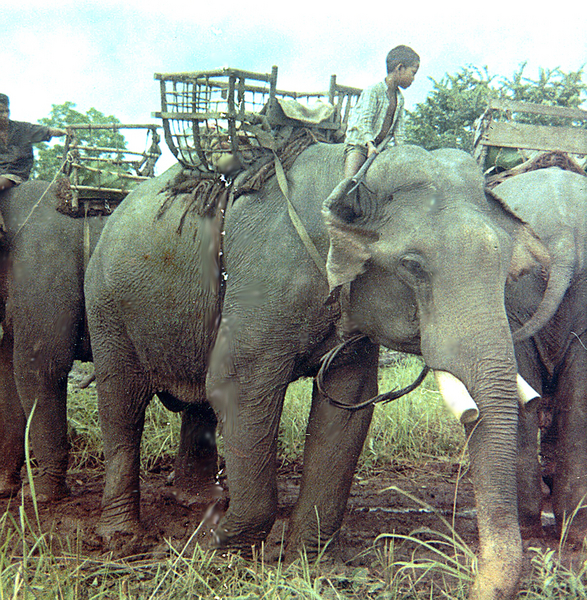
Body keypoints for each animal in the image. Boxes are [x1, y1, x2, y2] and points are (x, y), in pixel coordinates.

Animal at [87, 145, 552, 600]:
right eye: (412, 265)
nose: (473, 585)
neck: (354, 171)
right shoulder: (260, 285)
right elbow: (234, 388)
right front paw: (218, 550)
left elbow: (347, 409)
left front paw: (305, 565)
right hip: (106, 306)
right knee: (121, 405)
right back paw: (124, 539)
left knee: (193, 403)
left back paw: (199, 503)